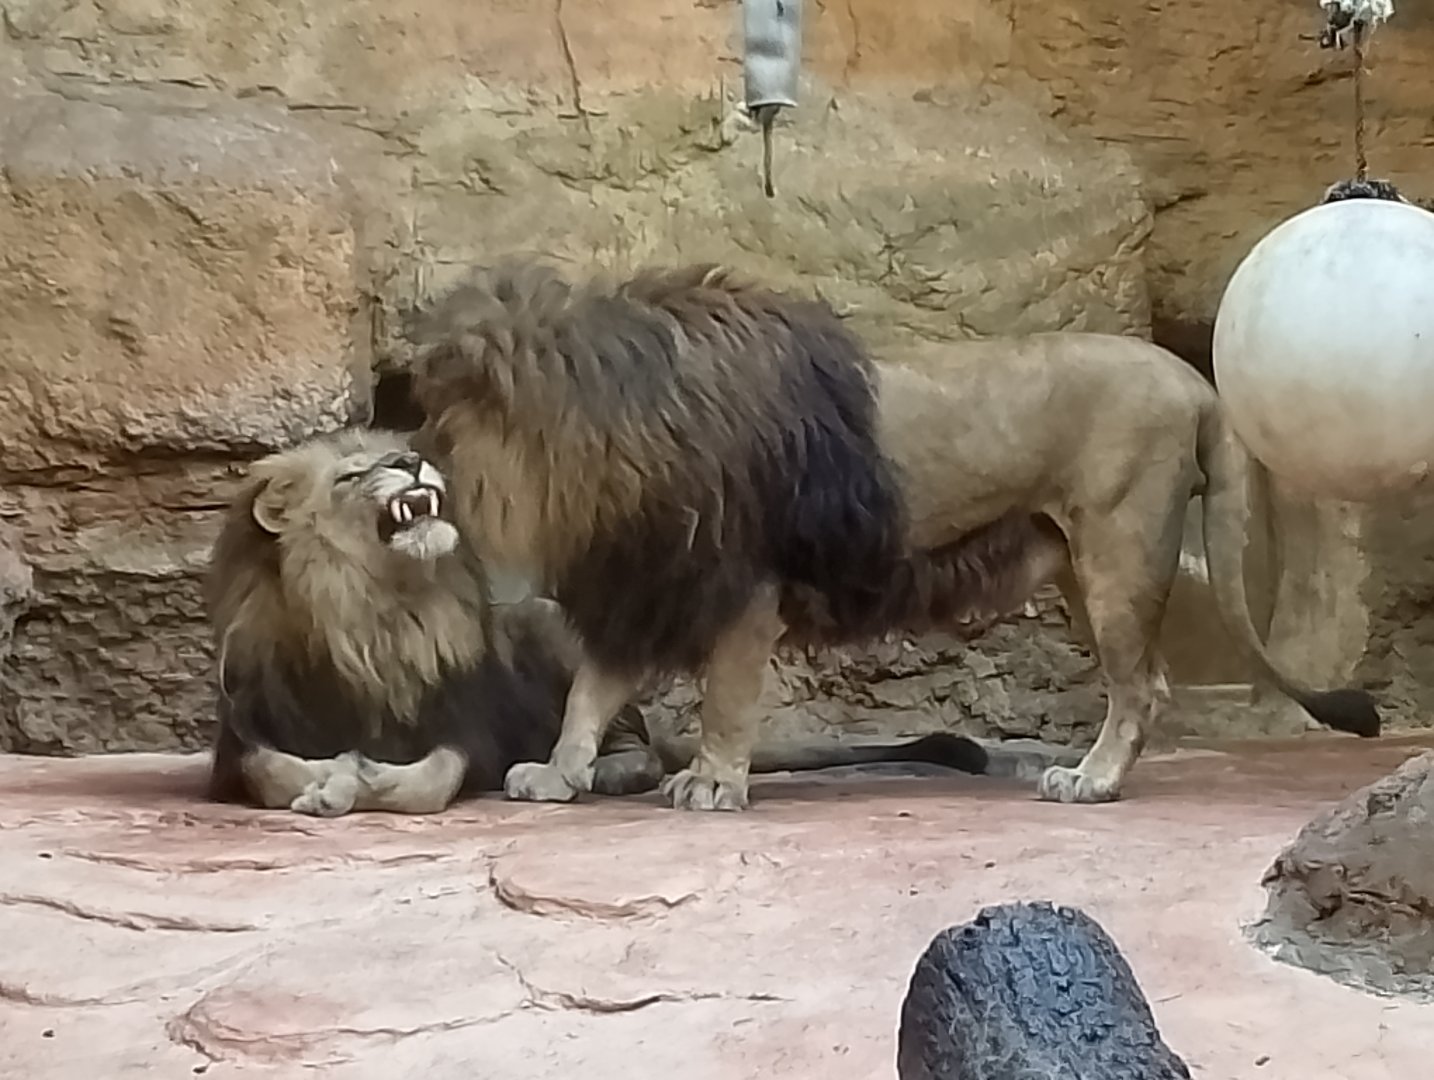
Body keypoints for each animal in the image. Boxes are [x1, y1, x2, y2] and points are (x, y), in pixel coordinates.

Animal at [203, 429, 995, 817]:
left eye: (394, 451)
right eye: (349, 474)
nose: (412, 458)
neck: (377, 612)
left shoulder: (469, 728)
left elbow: (433, 778)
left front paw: (361, 779)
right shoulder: (243, 730)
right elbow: (268, 769)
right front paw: (325, 778)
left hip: (546, 620)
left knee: (637, 747)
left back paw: (598, 773)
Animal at [404, 260, 1379, 814]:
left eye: (440, 420)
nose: (414, 465)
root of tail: (1192, 379)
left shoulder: (743, 589)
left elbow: (724, 698)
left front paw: (713, 784)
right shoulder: (649, 587)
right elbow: (588, 697)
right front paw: (556, 775)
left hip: (1120, 549)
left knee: (1143, 687)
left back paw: (1090, 782)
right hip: (1080, 559)